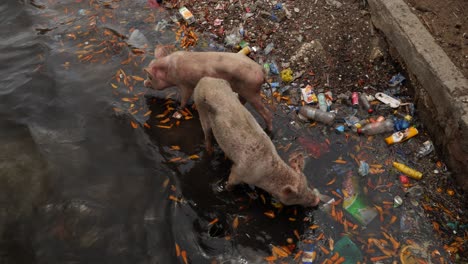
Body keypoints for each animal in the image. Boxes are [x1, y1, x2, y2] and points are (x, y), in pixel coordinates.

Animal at [144, 47, 272, 132]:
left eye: (150, 77)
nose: (144, 83)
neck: (170, 69)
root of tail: (262, 72)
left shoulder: (186, 85)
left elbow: (184, 99)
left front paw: (177, 111)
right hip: (245, 91)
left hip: (252, 91)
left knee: (266, 112)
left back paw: (268, 130)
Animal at [192, 76, 320, 206]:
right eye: (297, 197)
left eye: (307, 184)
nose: (317, 200)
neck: (265, 173)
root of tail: (206, 79)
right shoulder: (239, 171)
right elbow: (231, 182)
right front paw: (228, 190)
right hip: (200, 105)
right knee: (207, 133)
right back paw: (209, 152)